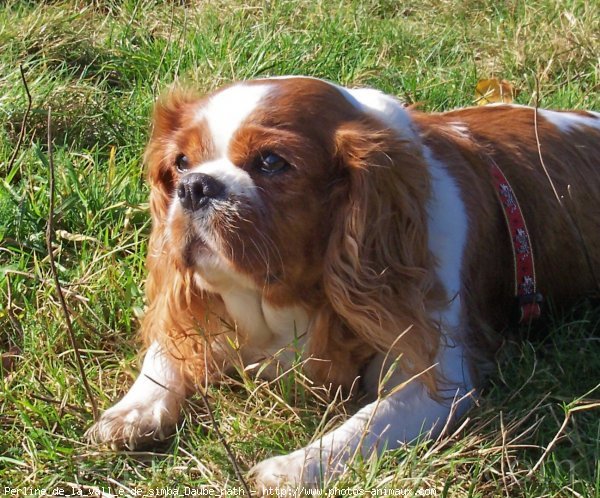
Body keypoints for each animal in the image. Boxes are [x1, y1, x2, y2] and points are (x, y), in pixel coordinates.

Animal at [89, 77, 600, 486]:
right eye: (180, 162)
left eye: (271, 162)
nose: (194, 185)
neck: (279, 301)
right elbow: (166, 352)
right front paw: (131, 411)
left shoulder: (439, 378)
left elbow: (368, 423)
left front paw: (292, 467)